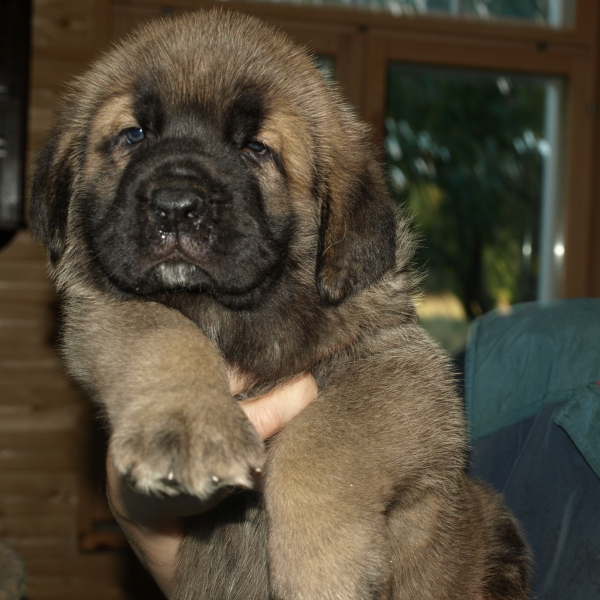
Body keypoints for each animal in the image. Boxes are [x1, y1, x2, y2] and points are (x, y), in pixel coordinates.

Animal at [29, 10, 528, 600]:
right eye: (134, 135)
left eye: (256, 149)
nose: (176, 206)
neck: (233, 312)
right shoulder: (103, 307)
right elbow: (161, 335)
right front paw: (188, 426)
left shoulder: (401, 367)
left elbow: (318, 447)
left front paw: (320, 572)